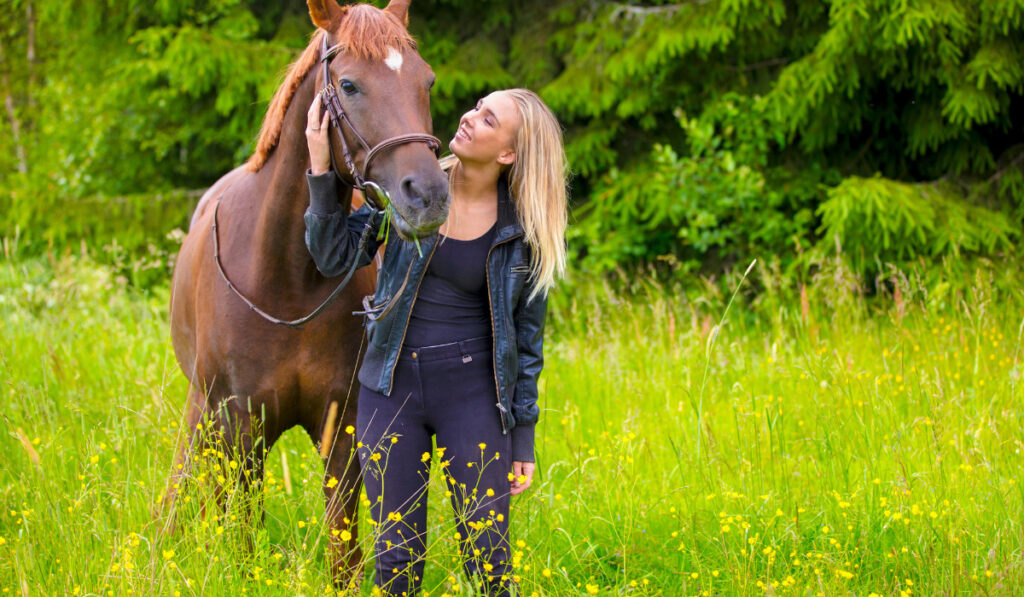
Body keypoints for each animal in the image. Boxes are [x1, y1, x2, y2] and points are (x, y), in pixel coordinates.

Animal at [165, 0, 446, 589]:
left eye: (426, 80)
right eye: (349, 84)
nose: (428, 195)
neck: (286, 281)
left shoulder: (342, 428)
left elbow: (343, 550)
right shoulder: (241, 425)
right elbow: (242, 533)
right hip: (203, 410)